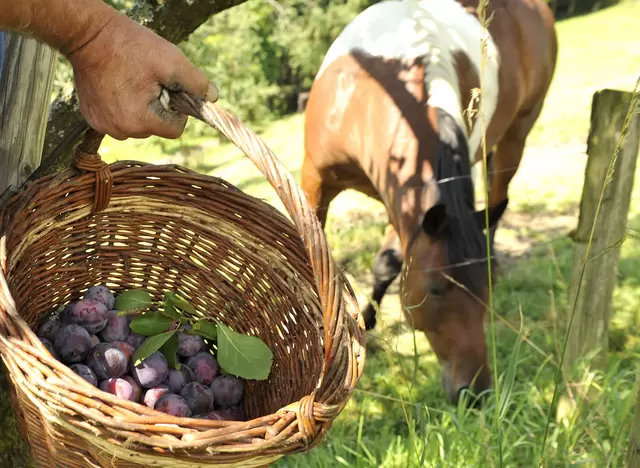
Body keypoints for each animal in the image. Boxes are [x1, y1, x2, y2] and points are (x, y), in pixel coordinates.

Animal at [300, 0, 556, 404]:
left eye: (486, 291)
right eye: (436, 289)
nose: (475, 393)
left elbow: (390, 263)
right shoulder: (318, 178)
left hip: (518, 133)